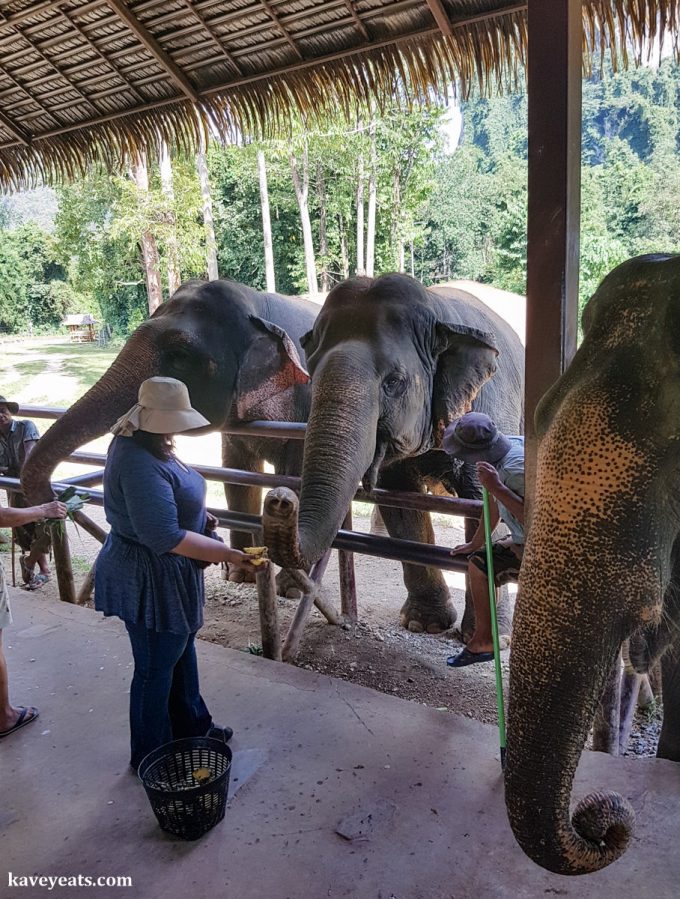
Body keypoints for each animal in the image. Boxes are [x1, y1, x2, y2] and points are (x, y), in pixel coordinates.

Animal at [21, 280, 316, 568]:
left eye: (180, 355)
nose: (58, 500)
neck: (256, 305)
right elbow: (238, 479)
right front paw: (241, 571)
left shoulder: (305, 412)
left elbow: (294, 480)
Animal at [262, 274, 524, 632]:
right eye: (312, 377)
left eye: (394, 382)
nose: (280, 499)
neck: (437, 311)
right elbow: (401, 505)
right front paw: (425, 624)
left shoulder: (492, 410)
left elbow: (485, 505)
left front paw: (485, 633)